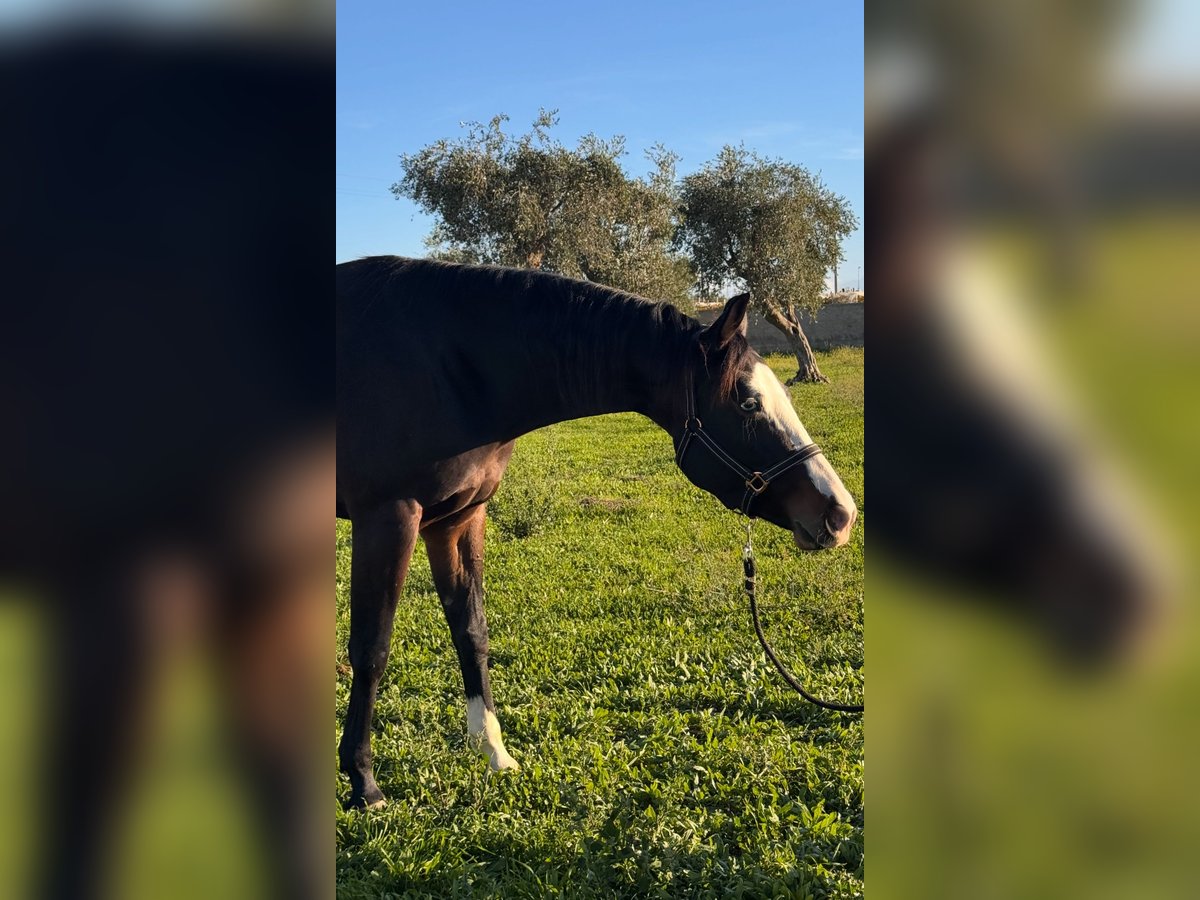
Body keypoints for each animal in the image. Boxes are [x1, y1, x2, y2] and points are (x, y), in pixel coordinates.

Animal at [335, 257, 858, 808]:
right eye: (749, 404)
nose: (840, 513)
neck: (449, 368)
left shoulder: (458, 519)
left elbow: (471, 632)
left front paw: (493, 750)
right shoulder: (388, 519)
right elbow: (371, 650)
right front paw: (363, 781)